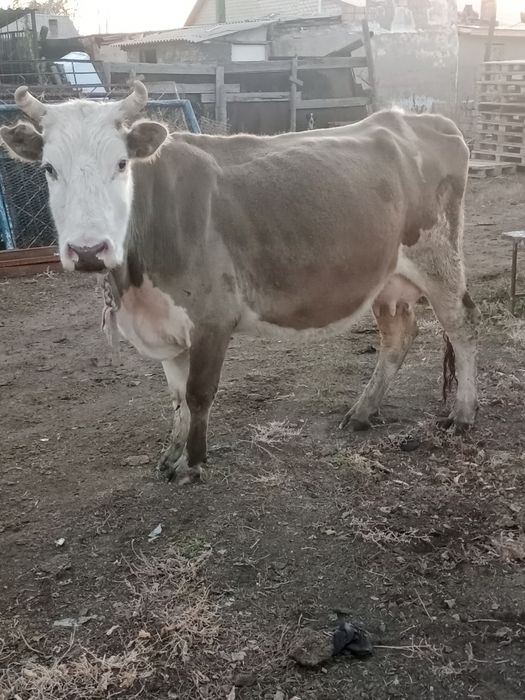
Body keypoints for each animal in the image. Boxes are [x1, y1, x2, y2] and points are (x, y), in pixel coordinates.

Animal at [0, 82, 480, 485]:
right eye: (49, 168)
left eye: (120, 164)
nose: (87, 250)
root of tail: (424, 120)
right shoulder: (166, 321)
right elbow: (176, 396)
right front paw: (171, 455)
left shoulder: (212, 317)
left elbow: (198, 394)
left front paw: (193, 463)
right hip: (388, 277)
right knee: (398, 335)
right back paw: (363, 411)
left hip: (439, 257)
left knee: (463, 325)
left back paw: (463, 413)